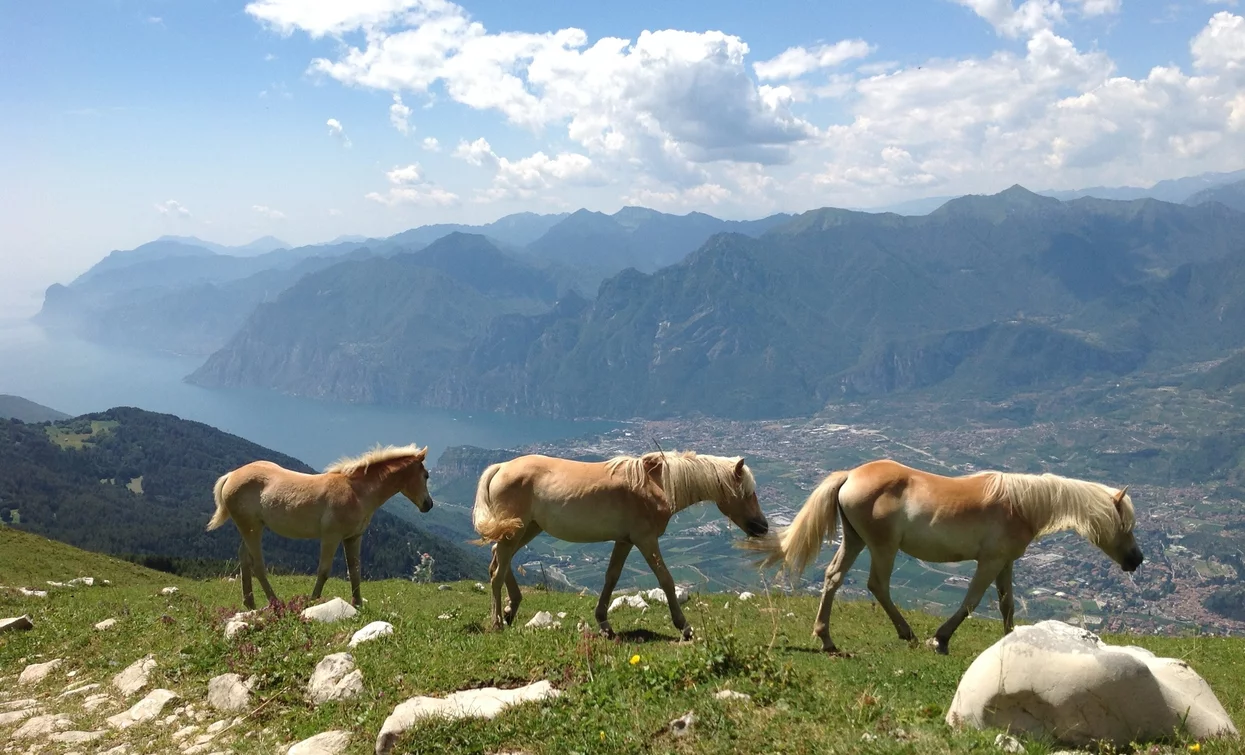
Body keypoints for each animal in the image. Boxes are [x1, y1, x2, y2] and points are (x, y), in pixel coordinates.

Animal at [206, 444, 434, 610]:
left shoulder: (353, 537)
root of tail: (231, 475)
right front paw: (312, 601)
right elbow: (324, 571)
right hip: (252, 528)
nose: (428, 505)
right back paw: (275, 602)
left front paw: (357, 604)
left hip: (250, 528)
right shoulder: (331, 537)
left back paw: (250, 603)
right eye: (426, 475)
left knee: (244, 558)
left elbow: (355, 570)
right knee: (257, 564)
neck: (356, 492)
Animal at [472, 450, 769, 640]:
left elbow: (611, 577)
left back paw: (511, 609)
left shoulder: (625, 541)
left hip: (526, 529)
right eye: (748, 492)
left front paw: (604, 623)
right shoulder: (645, 540)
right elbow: (666, 579)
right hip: (517, 530)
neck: (656, 485)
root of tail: (502, 467)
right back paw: (497, 622)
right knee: (497, 570)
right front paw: (684, 626)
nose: (763, 527)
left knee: (499, 559)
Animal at [741, 459, 1143, 655]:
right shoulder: (989, 562)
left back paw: (826, 638)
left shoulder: (1005, 563)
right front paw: (941, 639)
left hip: (854, 541)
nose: (1136, 560)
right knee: (877, 585)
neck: (1021, 504)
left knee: (834, 578)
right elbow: (971, 601)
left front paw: (1011, 642)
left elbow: (1007, 604)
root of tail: (851, 475)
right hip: (882, 548)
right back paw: (907, 634)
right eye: (1125, 524)